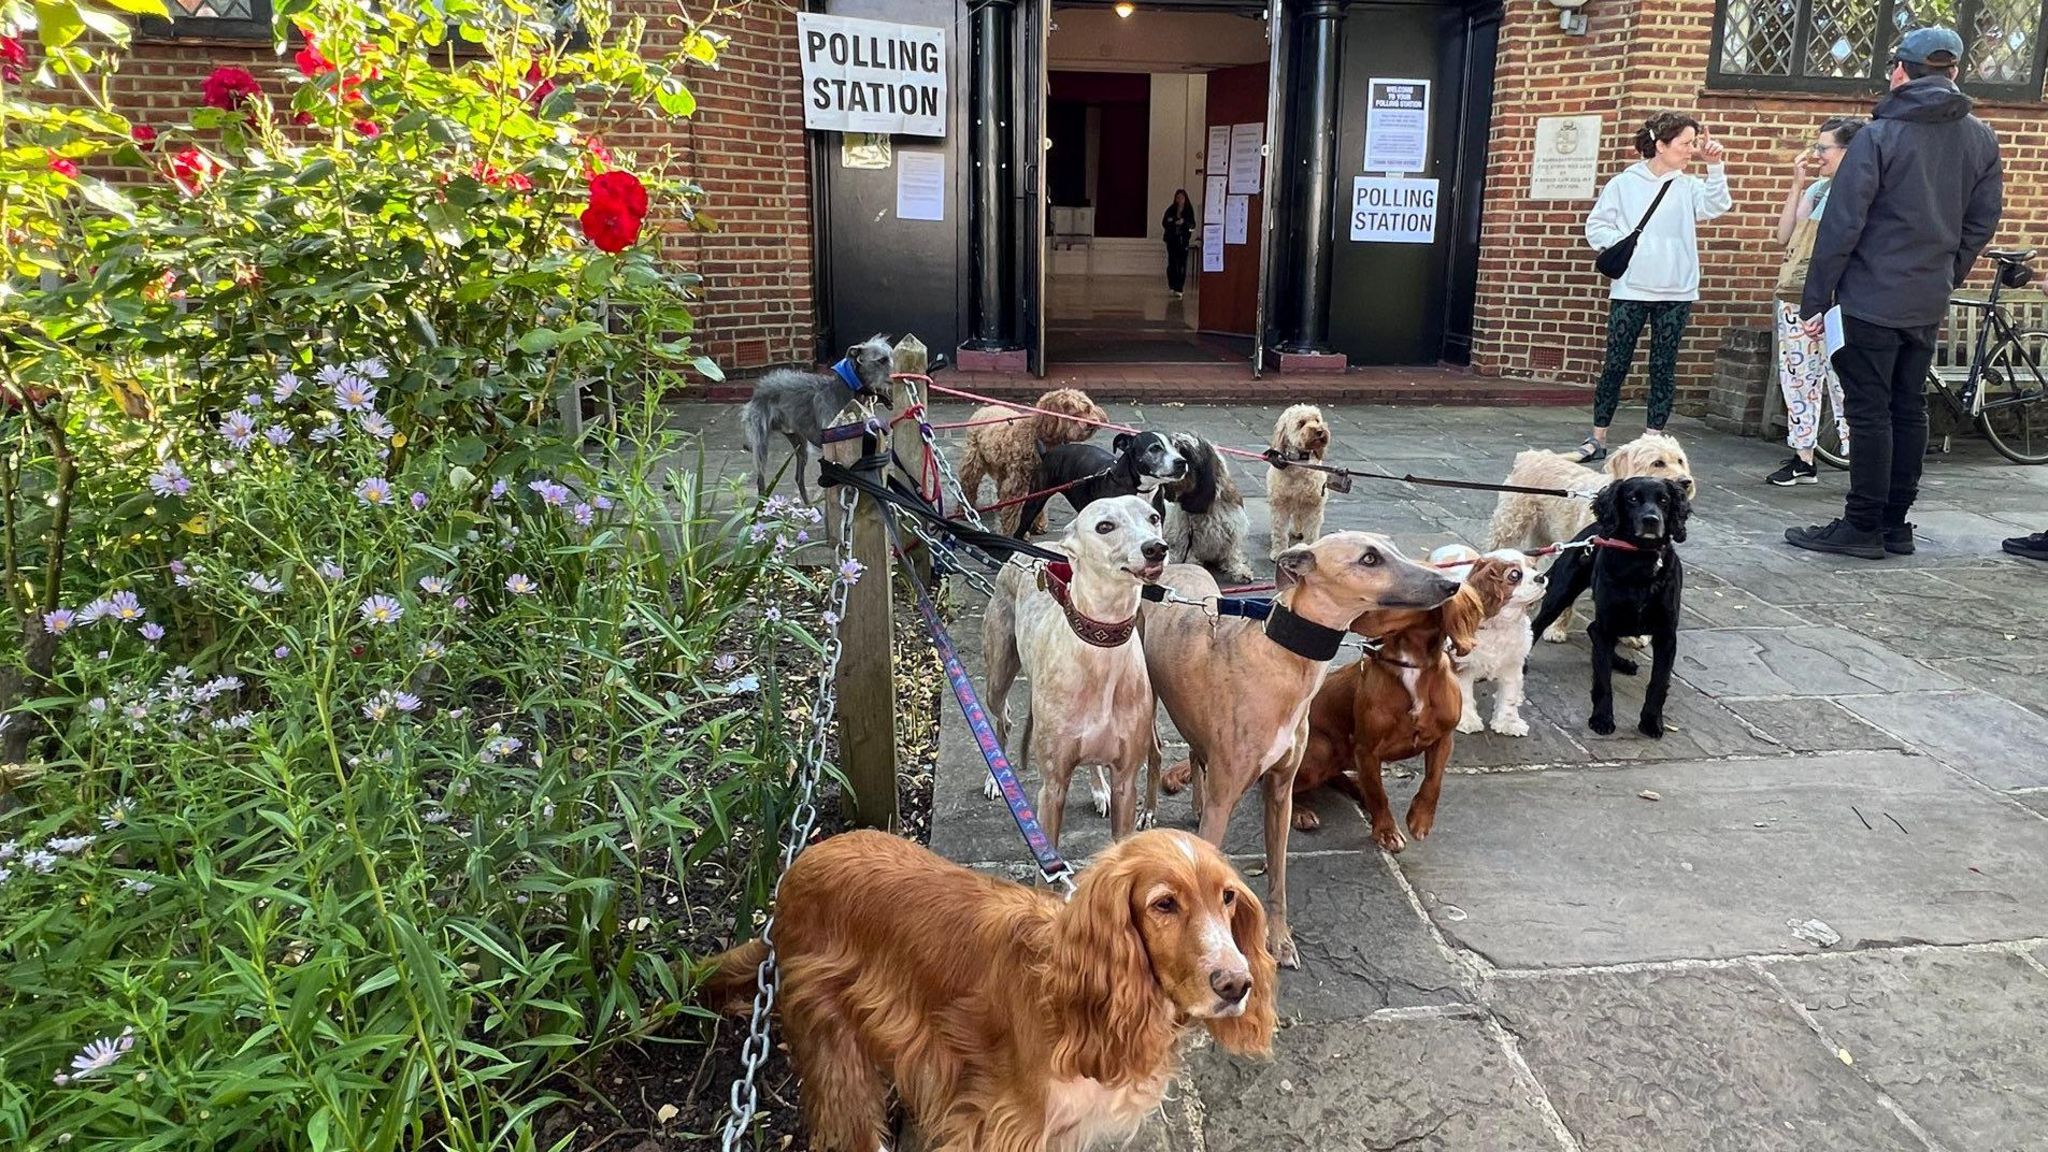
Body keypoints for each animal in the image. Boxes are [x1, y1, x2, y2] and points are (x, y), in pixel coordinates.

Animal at [737, 330, 897, 496]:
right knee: (761, 480)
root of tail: (759, 387)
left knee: (798, 478)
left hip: (799, 443)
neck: (846, 391)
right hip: (761, 442)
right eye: (882, 360)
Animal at [954, 383, 1105, 532]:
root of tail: (983, 409)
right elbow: (1016, 509)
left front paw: (1037, 525)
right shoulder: (1020, 483)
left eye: (1088, 409)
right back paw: (964, 511)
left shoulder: (1040, 481)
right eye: (1074, 412)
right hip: (974, 462)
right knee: (968, 486)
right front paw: (1012, 531)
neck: (1040, 436)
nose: (1093, 422)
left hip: (1004, 467)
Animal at [1253, 401, 1335, 557]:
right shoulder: (1280, 504)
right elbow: (1280, 531)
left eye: (1317, 420)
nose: (1320, 430)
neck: (1300, 463)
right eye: (1301, 423)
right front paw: (1279, 551)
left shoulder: (1314, 504)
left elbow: (1311, 532)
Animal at [1490, 430, 1695, 639]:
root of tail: (1530, 455)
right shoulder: (1581, 556)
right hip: (1509, 524)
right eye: (1658, 463)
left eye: (1680, 461)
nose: (1685, 482)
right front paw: (1557, 628)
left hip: (1541, 534)